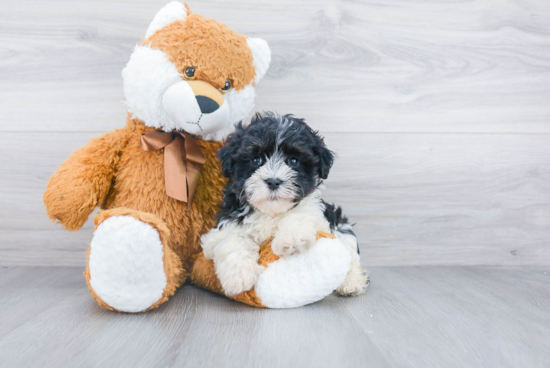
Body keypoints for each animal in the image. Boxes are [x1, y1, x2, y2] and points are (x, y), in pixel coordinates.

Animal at [201, 112, 368, 296]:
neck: (271, 212)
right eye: (256, 159)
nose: (273, 181)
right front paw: (239, 275)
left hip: (340, 225)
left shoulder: (317, 213)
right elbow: (231, 238)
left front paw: (292, 238)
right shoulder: (226, 221)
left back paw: (352, 282)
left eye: (293, 161)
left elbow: (299, 214)